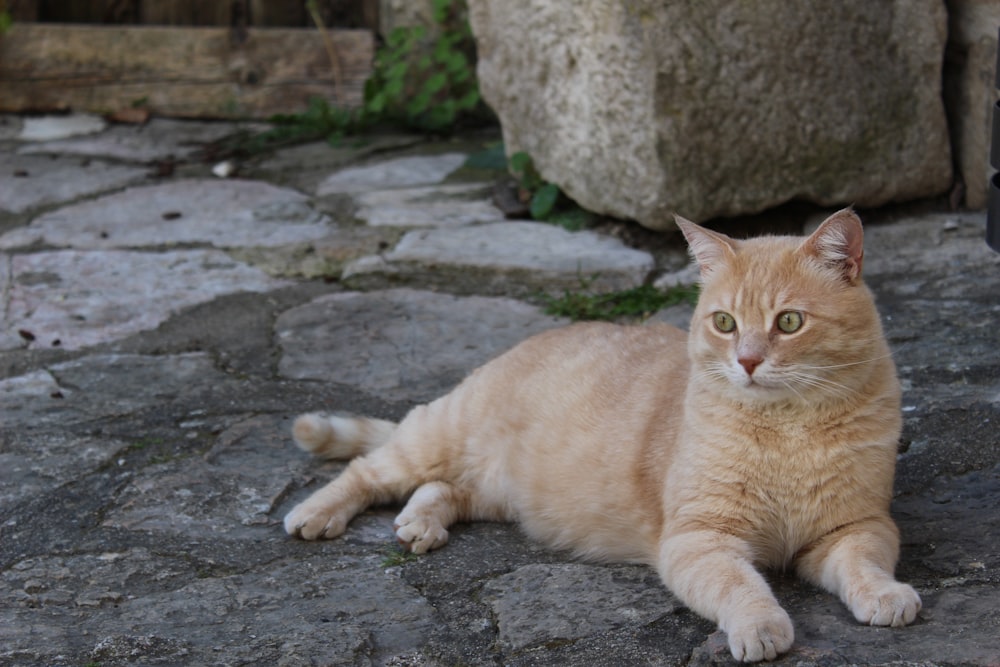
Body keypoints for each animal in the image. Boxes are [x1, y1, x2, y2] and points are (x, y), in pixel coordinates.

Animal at [284, 210, 920, 664]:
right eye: (725, 323)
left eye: (789, 322)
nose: (746, 361)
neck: (787, 431)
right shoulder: (699, 539)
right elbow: (741, 586)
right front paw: (761, 625)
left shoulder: (856, 526)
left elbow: (864, 564)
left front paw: (885, 595)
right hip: (438, 436)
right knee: (371, 470)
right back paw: (316, 513)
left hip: (499, 493)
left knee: (440, 489)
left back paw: (421, 523)